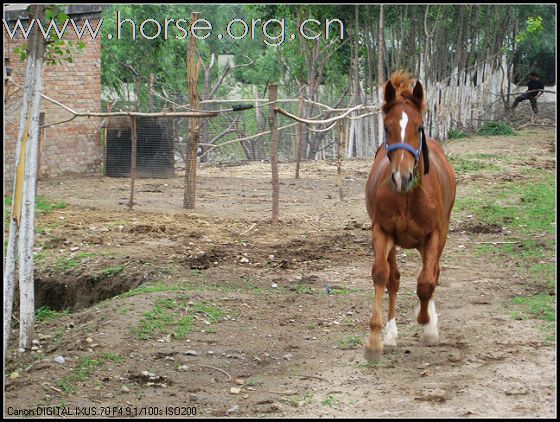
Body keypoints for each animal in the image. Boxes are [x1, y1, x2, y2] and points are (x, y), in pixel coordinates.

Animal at [366, 71, 458, 360]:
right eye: (387, 129)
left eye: (418, 128)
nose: (401, 177)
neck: (408, 196)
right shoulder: (382, 231)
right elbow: (383, 276)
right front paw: (375, 340)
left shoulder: (434, 234)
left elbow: (427, 282)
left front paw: (426, 323)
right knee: (394, 279)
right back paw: (391, 334)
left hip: (439, 237)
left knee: (433, 273)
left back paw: (430, 322)